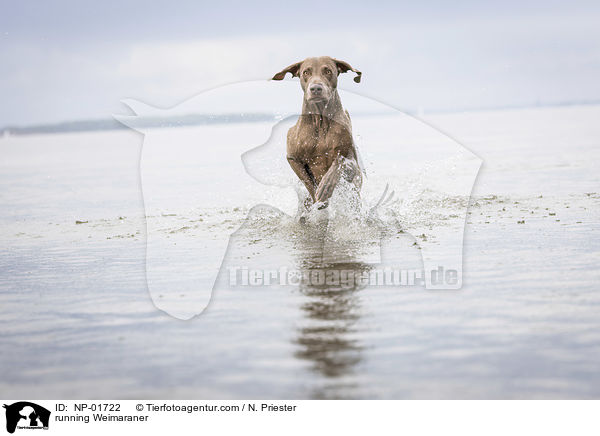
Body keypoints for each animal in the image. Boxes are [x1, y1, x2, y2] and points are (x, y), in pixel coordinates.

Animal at [270, 55, 360, 212]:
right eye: (306, 72)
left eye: (328, 71)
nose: (316, 88)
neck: (321, 122)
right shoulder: (292, 157)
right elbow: (307, 181)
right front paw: (318, 199)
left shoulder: (353, 161)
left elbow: (340, 161)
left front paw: (325, 186)